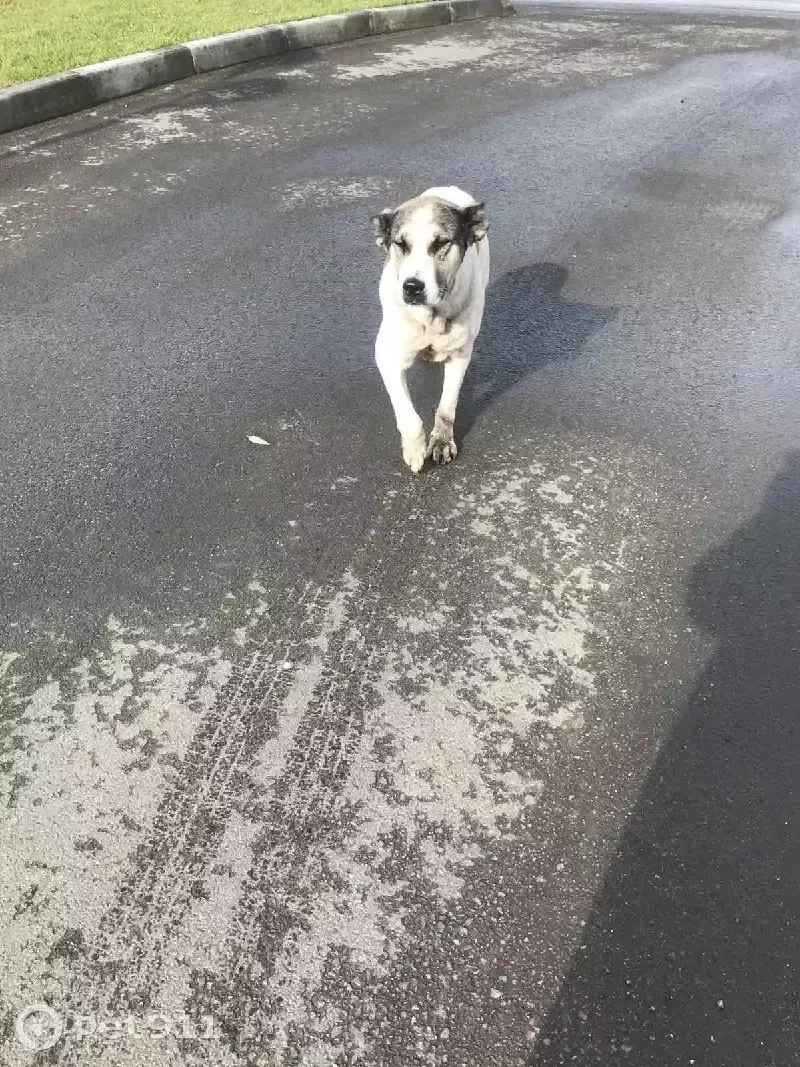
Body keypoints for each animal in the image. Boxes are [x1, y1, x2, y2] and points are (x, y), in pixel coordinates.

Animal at [375, 186, 488, 471]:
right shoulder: (387, 356)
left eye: (440, 244)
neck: (431, 317)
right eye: (401, 244)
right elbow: (408, 416)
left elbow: (447, 405)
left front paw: (442, 441)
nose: (412, 287)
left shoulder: (460, 354)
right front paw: (415, 450)